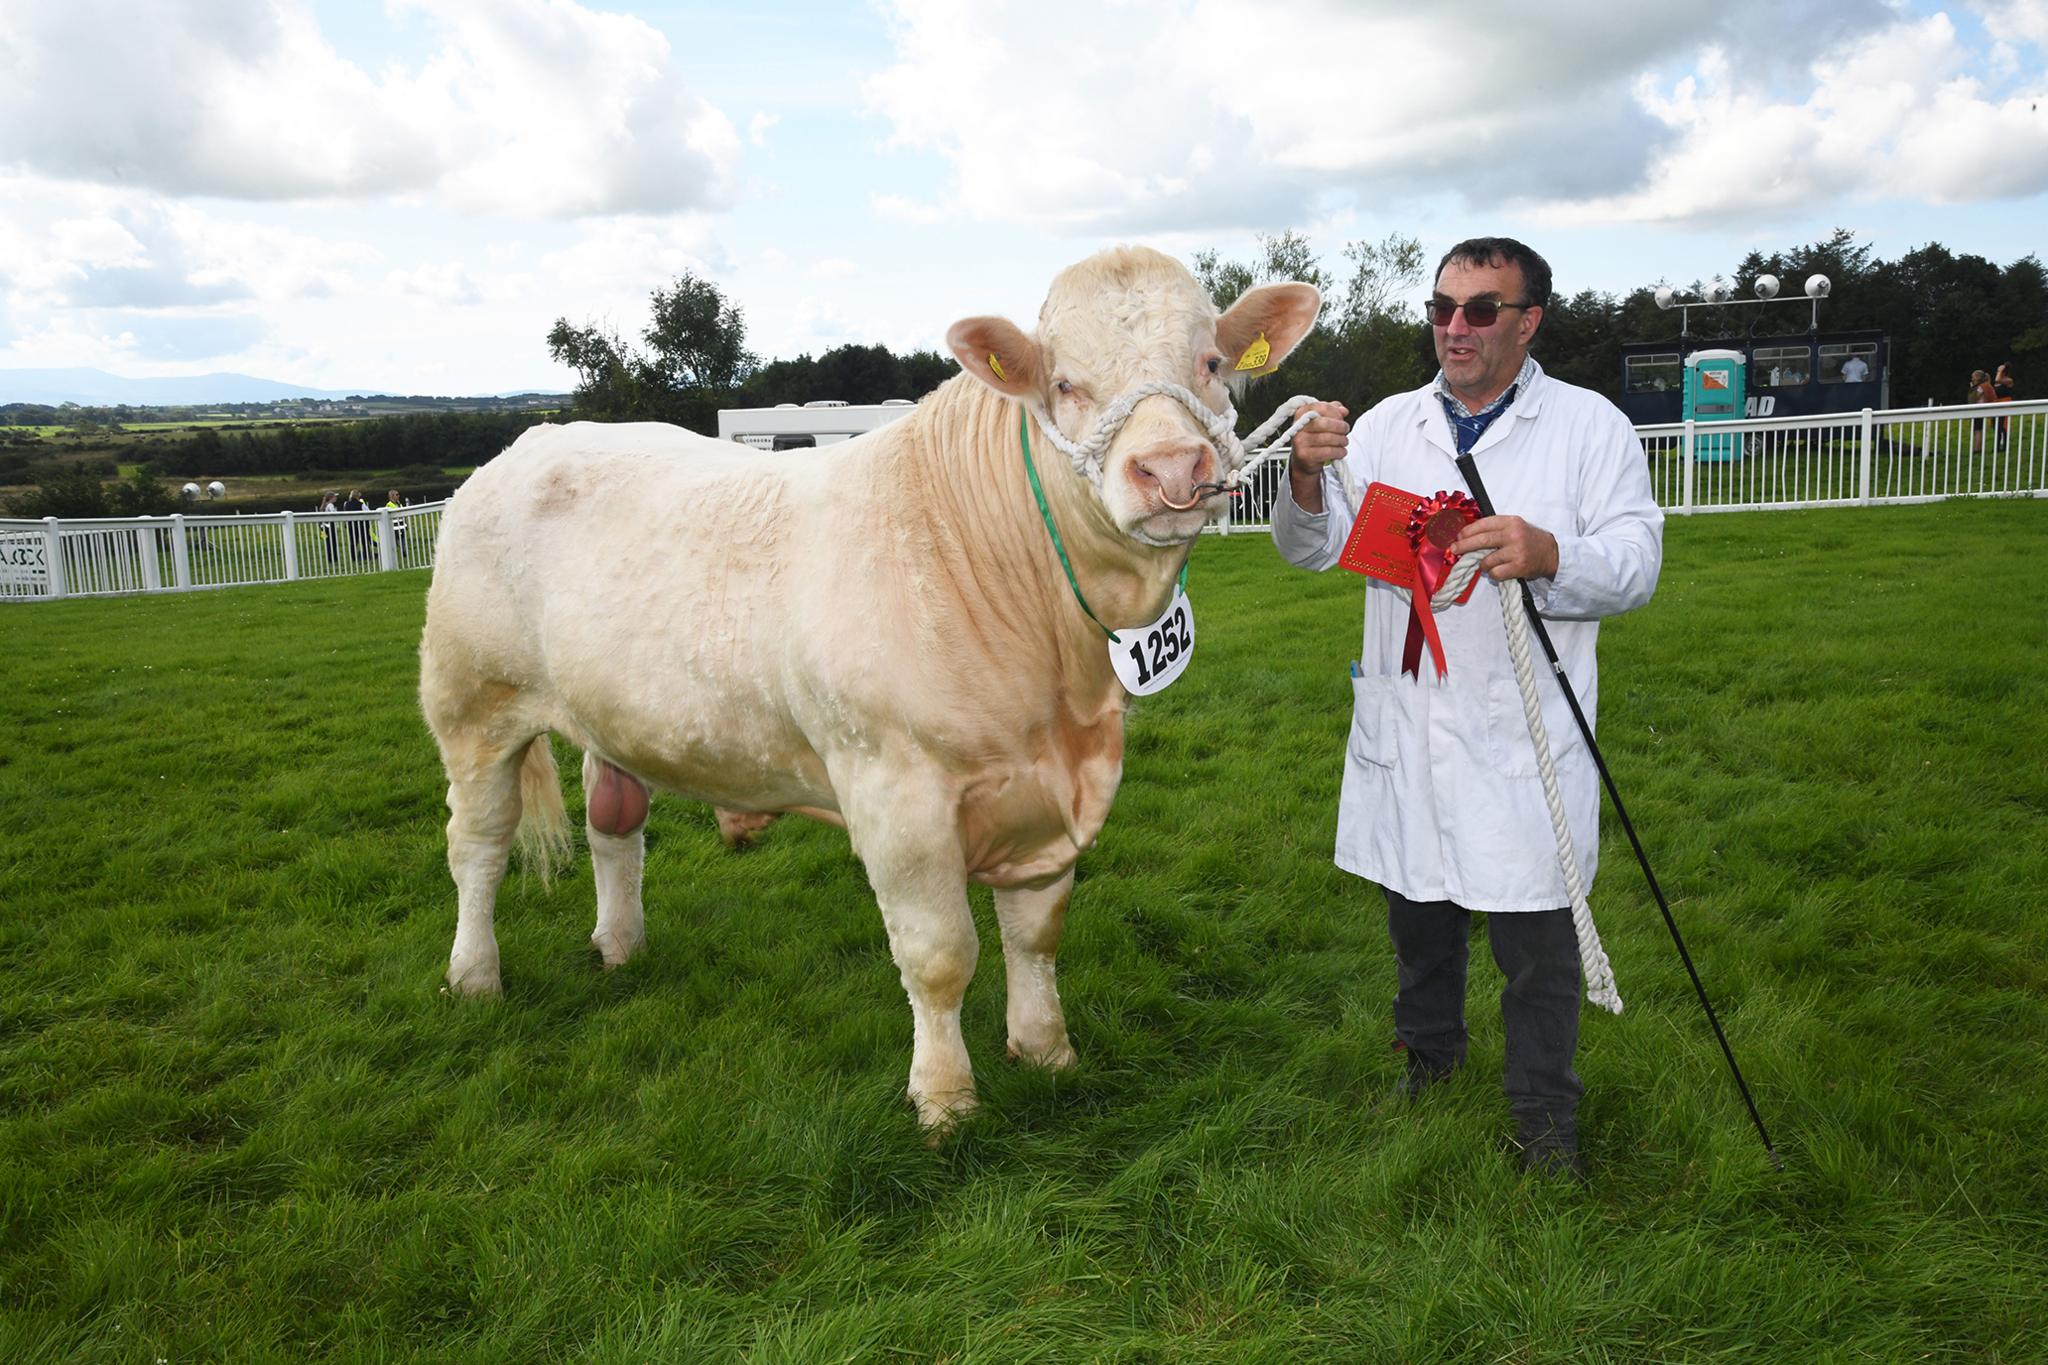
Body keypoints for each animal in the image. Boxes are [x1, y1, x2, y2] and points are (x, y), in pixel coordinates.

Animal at [421, 248, 1318, 1129]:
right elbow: (941, 955)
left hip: (613, 712)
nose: (1171, 467)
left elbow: (1036, 934)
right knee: (478, 845)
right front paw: (945, 1098)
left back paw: (619, 943)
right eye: (1065, 382)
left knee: (613, 821)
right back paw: (473, 974)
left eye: (1210, 363)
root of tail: (528, 444)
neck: (1064, 690)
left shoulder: (1050, 798)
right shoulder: (898, 795)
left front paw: (1046, 1050)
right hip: (472, 702)